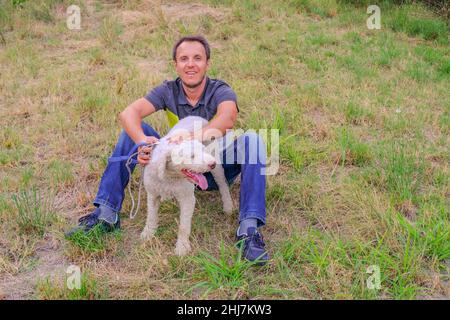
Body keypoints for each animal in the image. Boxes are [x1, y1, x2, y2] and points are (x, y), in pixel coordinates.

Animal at [140, 116, 232, 256]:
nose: (212, 164)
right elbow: (151, 216)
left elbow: (184, 225)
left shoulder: (187, 198)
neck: (170, 176)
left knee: (222, 184)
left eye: (202, 151)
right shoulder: (152, 194)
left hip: (216, 161)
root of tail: (197, 117)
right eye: (192, 156)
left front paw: (182, 247)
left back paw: (228, 205)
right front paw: (148, 233)